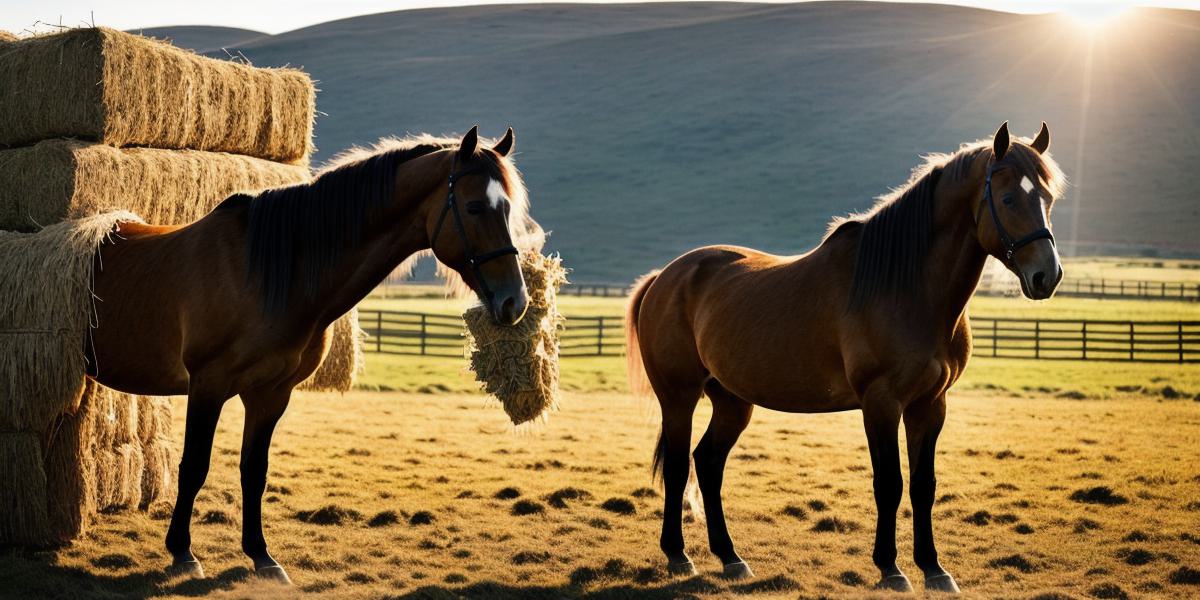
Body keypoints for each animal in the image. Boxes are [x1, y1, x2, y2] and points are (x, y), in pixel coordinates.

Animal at [84, 125, 535, 580]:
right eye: (475, 207)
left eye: (507, 208)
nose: (515, 301)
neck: (266, 273)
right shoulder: (208, 386)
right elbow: (194, 466)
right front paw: (182, 552)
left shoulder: (271, 394)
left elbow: (254, 471)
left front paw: (261, 556)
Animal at [624, 123, 1065, 595]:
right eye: (1008, 198)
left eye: (1048, 197)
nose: (1047, 275)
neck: (905, 287)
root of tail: (666, 276)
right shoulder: (881, 402)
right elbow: (889, 484)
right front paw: (891, 569)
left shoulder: (930, 404)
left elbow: (923, 485)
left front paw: (934, 569)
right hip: (679, 397)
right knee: (676, 467)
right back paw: (678, 556)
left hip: (731, 401)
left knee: (707, 463)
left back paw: (731, 559)